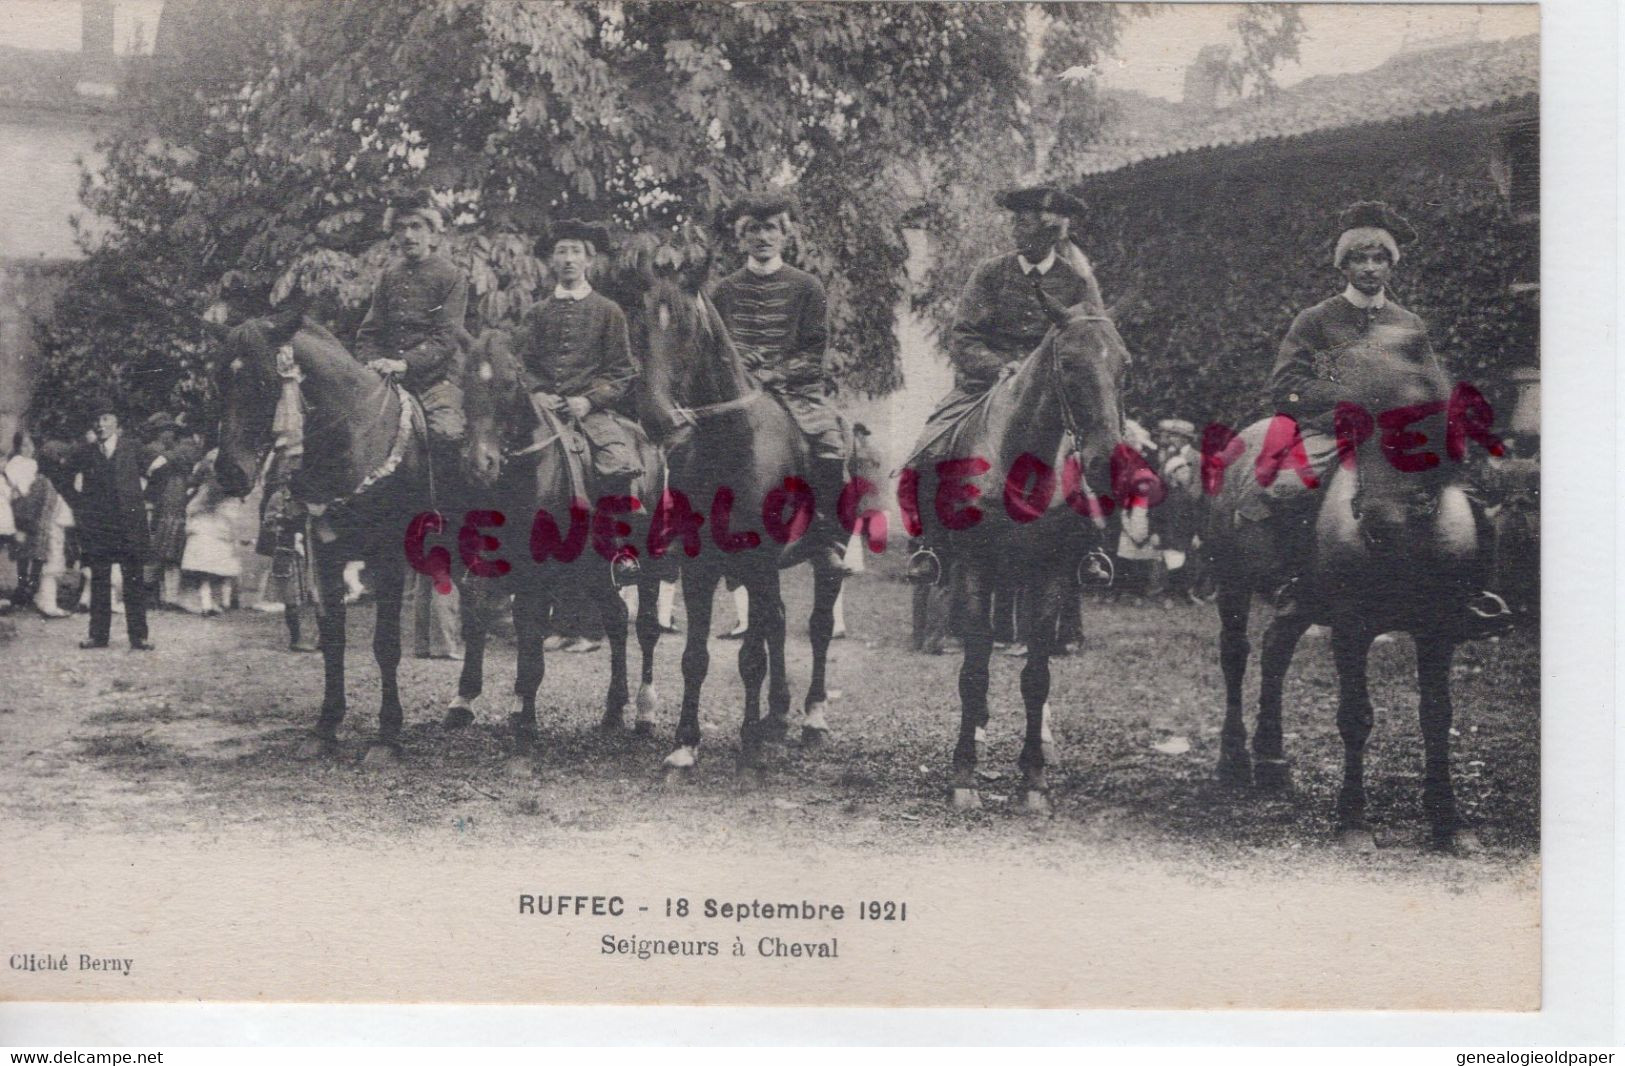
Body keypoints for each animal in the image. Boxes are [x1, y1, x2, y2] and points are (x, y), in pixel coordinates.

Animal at [216, 310, 432, 767]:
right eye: (218, 380)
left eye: (265, 381)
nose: (229, 472)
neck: (354, 441)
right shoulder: (327, 555)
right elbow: (333, 639)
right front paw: (325, 727)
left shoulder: (389, 559)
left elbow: (386, 644)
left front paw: (387, 735)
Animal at [448, 328, 669, 754]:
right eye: (466, 383)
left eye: (509, 384)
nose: (480, 465)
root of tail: (649, 444)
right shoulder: (491, 561)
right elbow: (482, 611)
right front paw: (465, 700)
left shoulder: (540, 572)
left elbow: (530, 627)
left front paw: (525, 714)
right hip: (597, 571)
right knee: (616, 618)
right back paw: (613, 709)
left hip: (650, 563)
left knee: (646, 628)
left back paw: (645, 712)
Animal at [633, 274, 845, 773]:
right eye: (640, 325)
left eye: (688, 329)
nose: (655, 416)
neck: (731, 444)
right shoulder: (700, 566)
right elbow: (696, 657)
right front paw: (685, 742)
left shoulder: (759, 559)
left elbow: (751, 656)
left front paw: (750, 736)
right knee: (777, 621)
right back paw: (777, 714)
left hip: (822, 556)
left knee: (818, 626)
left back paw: (811, 717)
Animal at [903, 289, 1131, 809]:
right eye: (1067, 364)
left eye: (1124, 363)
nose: (1106, 461)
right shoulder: (973, 569)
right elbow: (974, 670)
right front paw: (964, 773)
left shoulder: (1050, 573)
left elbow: (1036, 675)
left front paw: (1034, 779)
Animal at [1209, 333, 1495, 851]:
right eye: (1359, 425)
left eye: (1428, 428)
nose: (1379, 520)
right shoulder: (1350, 627)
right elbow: (1355, 716)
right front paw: (1353, 819)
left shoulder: (1439, 629)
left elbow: (1437, 715)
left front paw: (1448, 819)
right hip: (1233, 583)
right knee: (1236, 655)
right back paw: (1234, 760)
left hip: (1298, 600)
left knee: (1276, 648)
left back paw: (1271, 760)